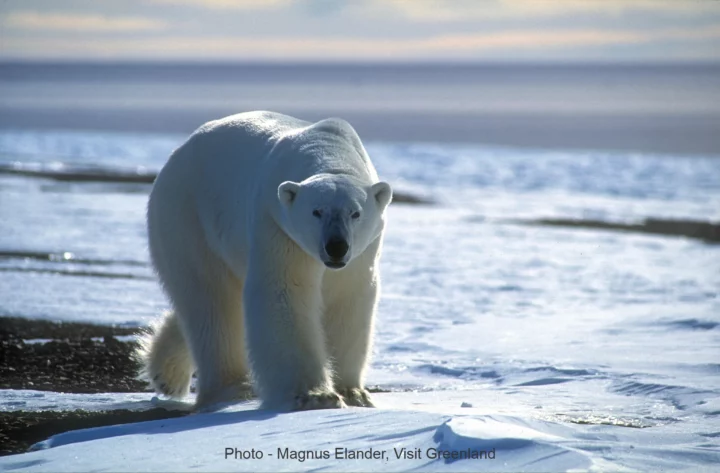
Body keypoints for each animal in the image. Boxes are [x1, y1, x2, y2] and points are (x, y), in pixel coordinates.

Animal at [137, 111, 392, 411]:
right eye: (316, 211)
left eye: (355, 213)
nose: (336, 246)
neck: (329, 148)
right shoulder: (276, 224)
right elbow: (283, 293)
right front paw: (315, 395)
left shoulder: (361, 254)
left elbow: (348, 299)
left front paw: (353, 392)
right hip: (187, 216)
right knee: (210, 301)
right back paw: (231, 388)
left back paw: (166, 373)